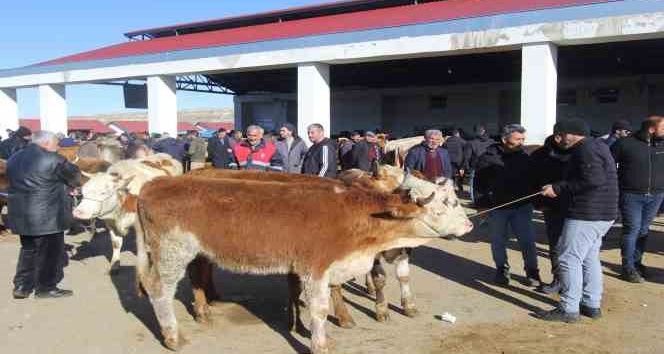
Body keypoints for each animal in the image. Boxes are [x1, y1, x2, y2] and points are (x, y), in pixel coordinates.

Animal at [132, 171, 470, 352]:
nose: (469, 225)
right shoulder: (314, 268)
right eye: (445, 204)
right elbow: (319, 309)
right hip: (173, 252)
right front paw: (321, 344)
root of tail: (153, 185)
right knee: (160, 290)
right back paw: (173, 336)